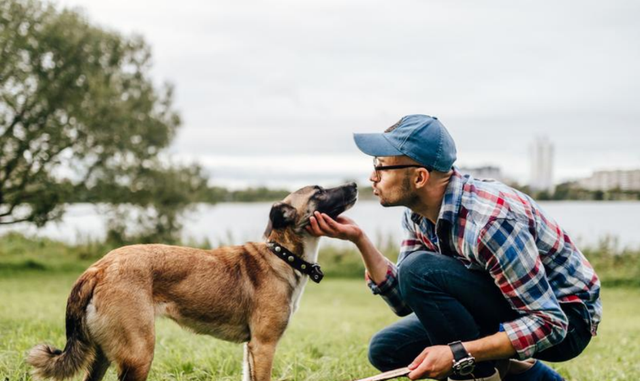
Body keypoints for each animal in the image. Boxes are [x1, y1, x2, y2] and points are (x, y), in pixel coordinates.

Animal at [27, 181, 358, 380]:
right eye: (318, 192)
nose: (355, 184)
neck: (282, 255)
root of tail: (98, 268)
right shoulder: (264, 346)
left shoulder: (250, 350)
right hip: (138, 354)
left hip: (104, 355)